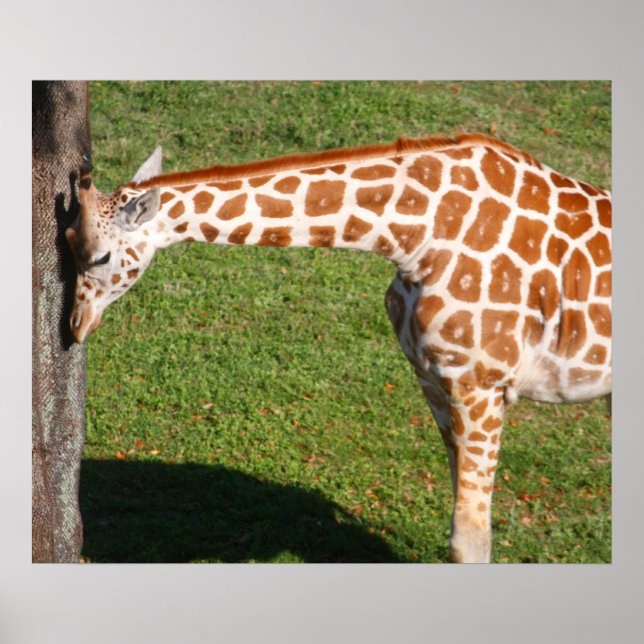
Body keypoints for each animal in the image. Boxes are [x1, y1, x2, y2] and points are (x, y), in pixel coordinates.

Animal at [65, 133, 611, 563]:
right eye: (67, 238)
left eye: (102, 256)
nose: (75, 325)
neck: (412, 236)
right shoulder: (435, 378)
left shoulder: (482, 382)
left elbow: (470, 540)